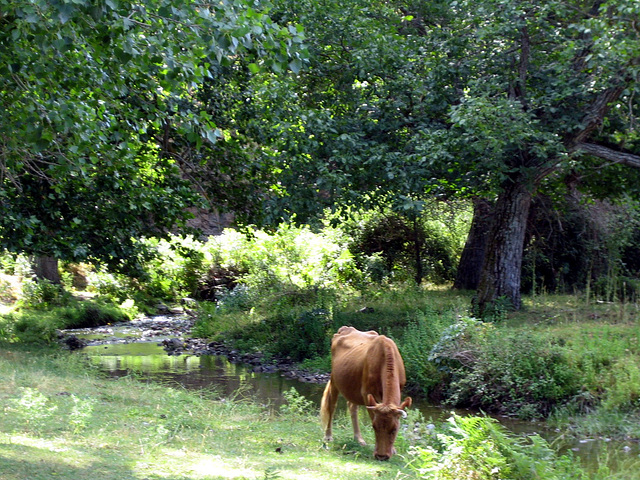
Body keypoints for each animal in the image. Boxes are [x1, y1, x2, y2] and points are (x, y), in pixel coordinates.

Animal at [318, 326, 412, 462]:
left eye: (394, 429)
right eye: (374, 427)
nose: (382, 456)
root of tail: (346, 328)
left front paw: (393, 449)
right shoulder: (367, 393)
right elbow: (372, 416)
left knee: (352, 407)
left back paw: (358, 438)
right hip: (334, 380)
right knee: (332, 405)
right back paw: (328, 436)